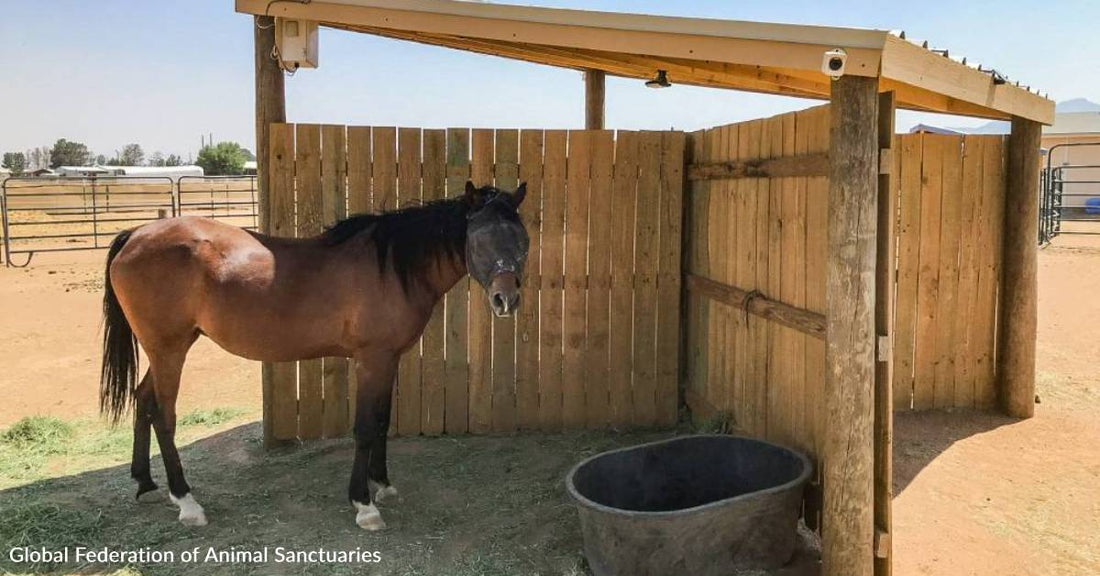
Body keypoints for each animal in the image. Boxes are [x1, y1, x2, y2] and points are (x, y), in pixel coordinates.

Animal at [100, 181, 529, 530]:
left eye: (522, 239)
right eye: (479, 238)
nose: (505, 300)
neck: (391, 267)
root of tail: (135, 234)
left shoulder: (389, 359)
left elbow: (382, 421)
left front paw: (383, 484)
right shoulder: (372, 359)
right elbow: (365, 427)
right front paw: (364, 505)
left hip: (169, 348)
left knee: (143, 401)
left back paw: (146, 484)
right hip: (168, 349)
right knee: (163, 416)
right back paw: (187, 502)